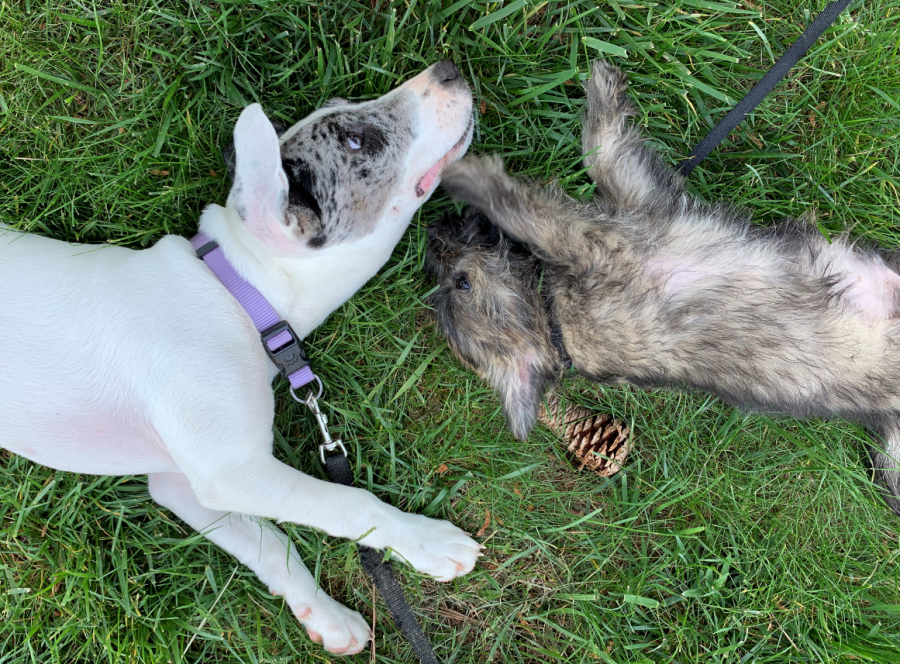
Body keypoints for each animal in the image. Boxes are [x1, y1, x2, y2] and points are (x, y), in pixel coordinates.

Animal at [1, 59, 486, 656]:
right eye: (355, 140)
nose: (448, 69)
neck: (237, 292)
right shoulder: (234, 472)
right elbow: (348, 503)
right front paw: (422, 540)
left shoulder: (184, 481)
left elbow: (270, 542)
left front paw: (324, 615)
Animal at [426, 59, 900, 516]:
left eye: (459, 282)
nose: (432, 232)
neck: (552, 317)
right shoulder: (594, 236)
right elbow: (532, 207)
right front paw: (471, 177)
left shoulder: (633, 201)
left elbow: (599, 152)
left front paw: (602, 86)